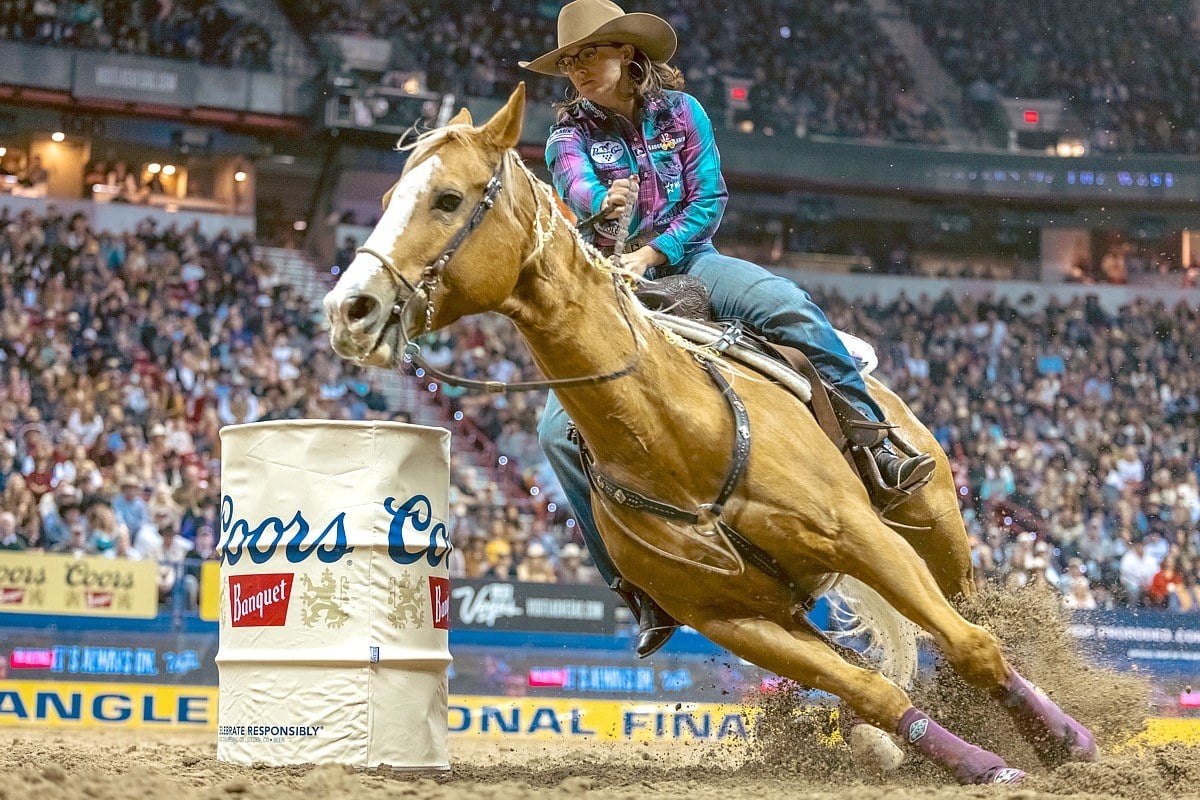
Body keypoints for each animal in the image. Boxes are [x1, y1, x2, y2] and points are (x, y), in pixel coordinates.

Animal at [326, 86, 1099, 782]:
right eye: (389, 195)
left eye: (447, 198)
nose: (348, 309)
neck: (677, 439)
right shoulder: (734, 621)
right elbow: (874, 691)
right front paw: (977, 762)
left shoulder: (863, 536)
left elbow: (973, 647)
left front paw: (1069, 744)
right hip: (797, 607)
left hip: (929, 522)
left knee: (972, 614)